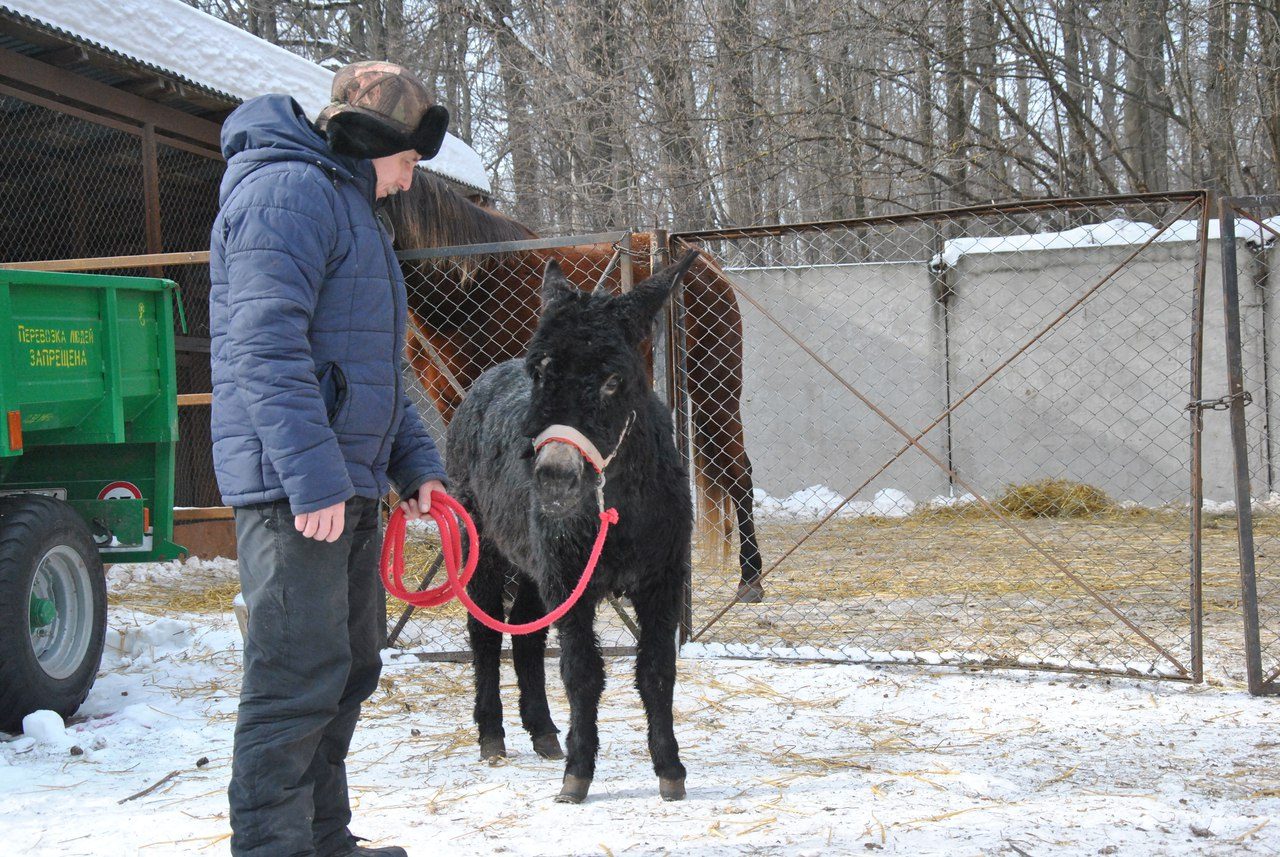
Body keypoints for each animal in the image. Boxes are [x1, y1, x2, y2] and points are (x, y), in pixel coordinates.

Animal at [378, 170, 757, 603]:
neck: (471, 292)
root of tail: (707, 263)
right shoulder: (456, 403)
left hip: (716, 388)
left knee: (739, 471)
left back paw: (750, 578)